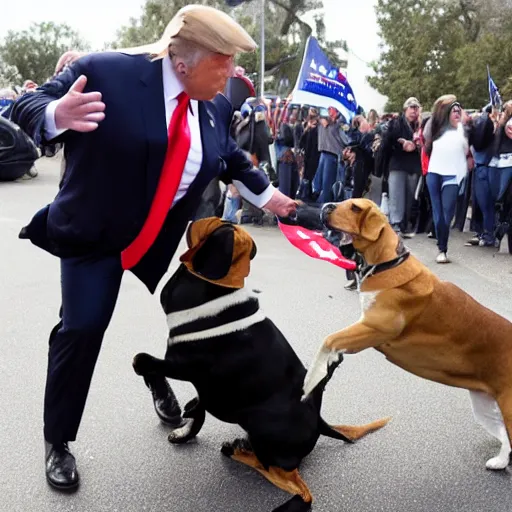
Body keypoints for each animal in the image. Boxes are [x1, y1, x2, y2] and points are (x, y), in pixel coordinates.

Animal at [131, 218, 388, 510]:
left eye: (215, 225)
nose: (193, 217)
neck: (219, 288)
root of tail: (319, 423)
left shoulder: (183, 366)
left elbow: (141, 360)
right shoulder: (205, 384)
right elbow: (197, 412)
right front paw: (185, 428)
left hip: (260, 426)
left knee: (295, 485)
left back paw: (239, 453)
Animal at [300, 198, 512, 470]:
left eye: (355, 207)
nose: (326, 205)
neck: (385, 262)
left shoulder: (373, 330)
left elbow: (327, 340)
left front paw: (309, 382)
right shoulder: (363, 329)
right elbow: (332, 346)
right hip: (486, 408)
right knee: (505, 437)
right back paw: (500, 461)